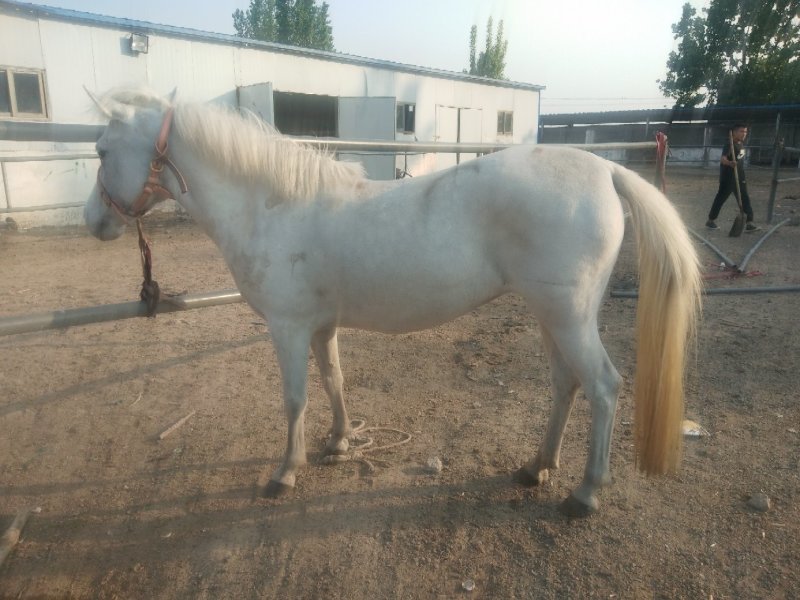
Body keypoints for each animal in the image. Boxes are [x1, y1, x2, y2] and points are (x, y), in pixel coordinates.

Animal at [84, 87, 701, 517]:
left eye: (102, 149)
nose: (94, 222)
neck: (274, 206)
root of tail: (607, 167)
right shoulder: (320, 326)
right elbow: (333, 381)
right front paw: (337, 444)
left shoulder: (287, 328)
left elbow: (294, 400)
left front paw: (285, 473)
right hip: (554, 316)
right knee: (565, 384)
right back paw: (536, 468)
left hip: (569, 319)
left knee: (603, 387)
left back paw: (585, 494)